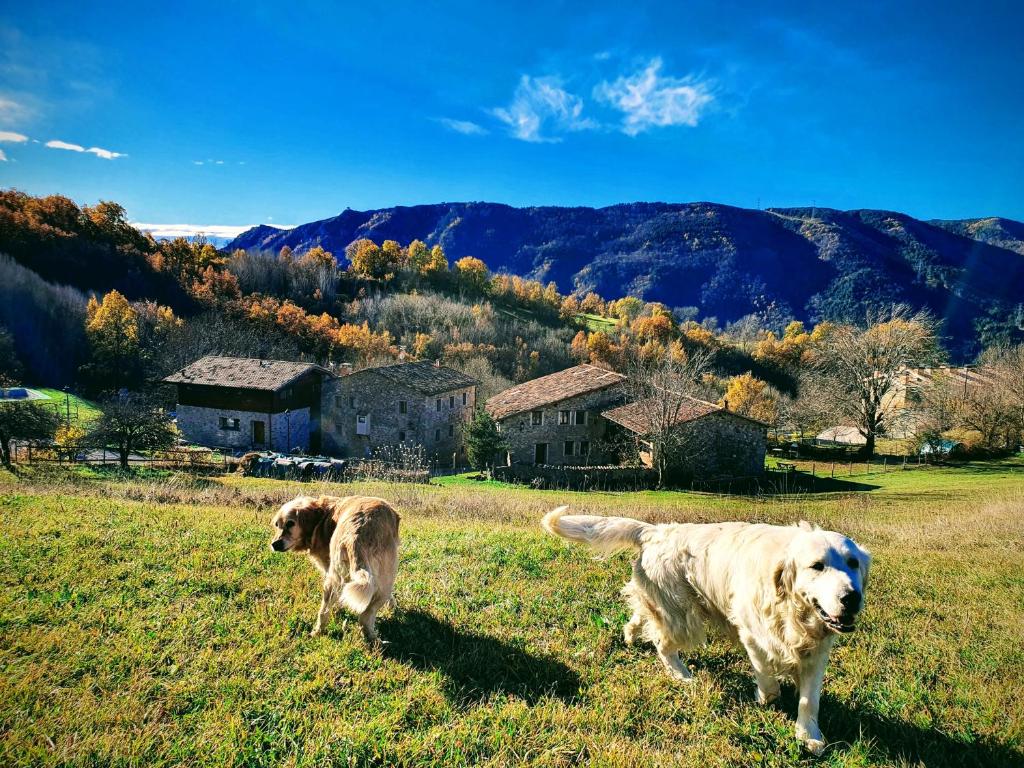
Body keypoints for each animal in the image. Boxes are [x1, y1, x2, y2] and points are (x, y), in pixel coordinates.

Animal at [544, 507, 872, 753]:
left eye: (853, 563)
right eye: (816, 566)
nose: (851, 597)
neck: (791, 611)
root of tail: (656, 531)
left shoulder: (816, 652)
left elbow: (810, 699)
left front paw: (808, 735)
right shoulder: (751, 633)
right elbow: (767, 677)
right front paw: (766, 698)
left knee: (640, 615)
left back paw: (629, 634)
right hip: (683, 615)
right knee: (663, 645)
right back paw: (683, 676)